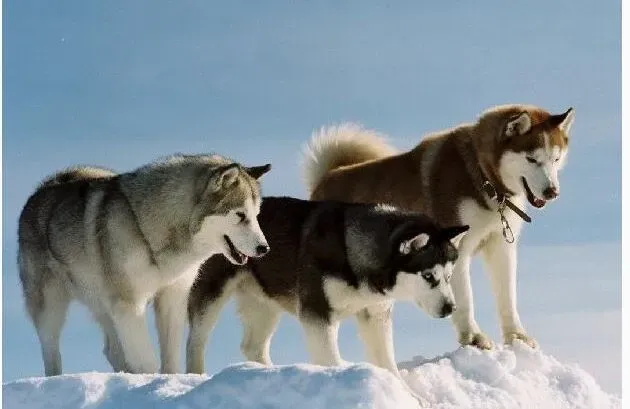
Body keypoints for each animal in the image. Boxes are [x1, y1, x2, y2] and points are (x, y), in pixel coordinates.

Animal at [18, 155, 270, 374]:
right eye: (240, 215)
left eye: (257, 214)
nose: (264, 249)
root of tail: (45, 187)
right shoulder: (129, 304)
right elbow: (146, 360)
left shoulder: (171, 298)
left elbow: (169, 357)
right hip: (50, 307)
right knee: (51, 352)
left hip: (104, 305)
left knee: (112, 350)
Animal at [185, 196, 466, 378]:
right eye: (428, 276)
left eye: (449, 276)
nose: (450, 308)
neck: (353, 251)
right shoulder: (317, 312)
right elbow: (329, 357)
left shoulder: (375, 313)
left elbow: (387, 361)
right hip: (212, 292)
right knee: (196, 340)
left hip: (265, 300)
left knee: (252, 345)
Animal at [306, 104, 576, 348]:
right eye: (531, 159)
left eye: (556, 158)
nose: (552, 192)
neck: (481, 174)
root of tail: (326, 178)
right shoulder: (457, 247)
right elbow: (465, 299)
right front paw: (473, 338)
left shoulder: (500, 246)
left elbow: (507, 297)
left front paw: (517, 337)